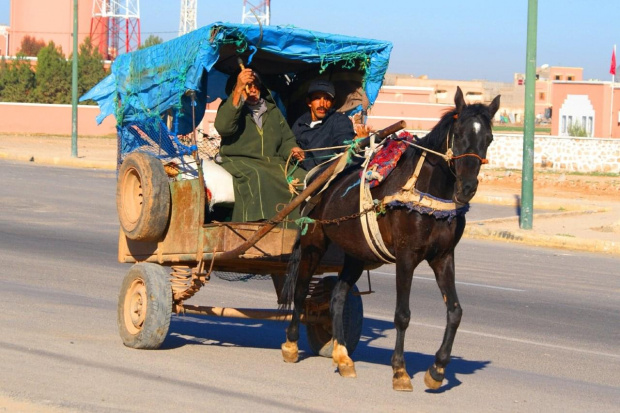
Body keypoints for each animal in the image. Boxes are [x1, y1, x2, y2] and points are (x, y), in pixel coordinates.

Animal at [278, 86, 502, 390]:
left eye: (488, 138)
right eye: (458, 133)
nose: (467, 188)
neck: (425, 194)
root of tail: (318, 180)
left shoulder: (443, 257)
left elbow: (455, 312)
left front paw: (437, 370)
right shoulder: (406, 256)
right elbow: (402, 314)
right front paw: (400, 371)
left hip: (356, 253)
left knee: (337, 296)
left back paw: (343, 357)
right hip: (314, 243)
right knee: (301, 290)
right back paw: (290, 345)